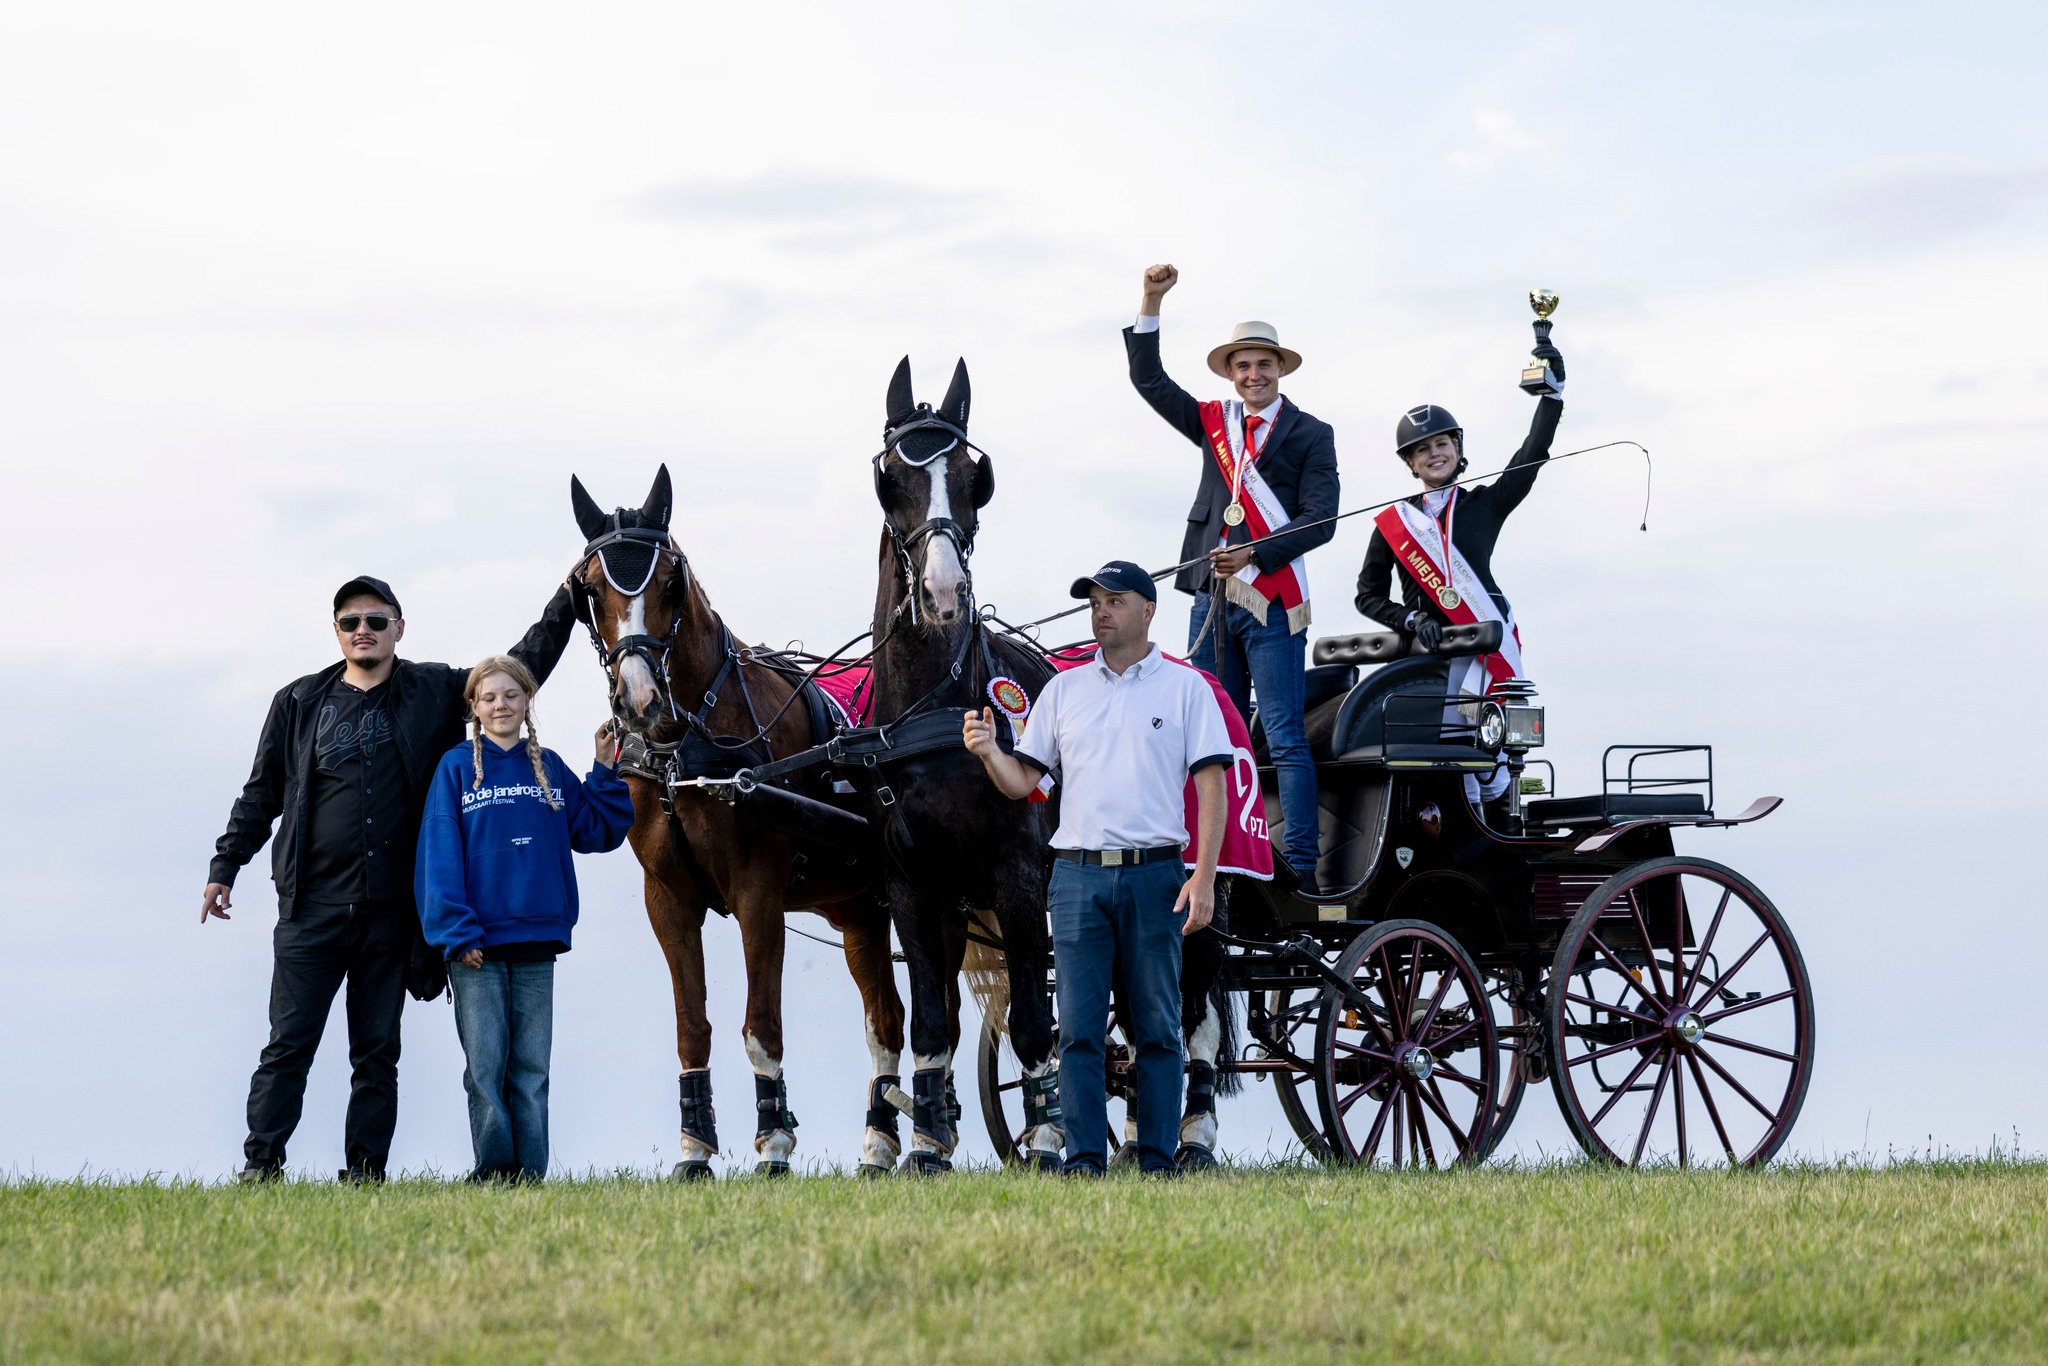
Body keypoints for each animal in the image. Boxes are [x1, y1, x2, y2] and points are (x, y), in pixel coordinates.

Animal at [566, 466, 910, 1177]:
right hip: (861, 907)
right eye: (589, 590)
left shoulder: (759, 893)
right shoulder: (667, 899)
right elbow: (690, 1026)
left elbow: (761, 1025)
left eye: (670, 582)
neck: (685, 752)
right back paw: (879, 1142)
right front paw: (695, 1147)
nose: (638, 699)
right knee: (886, 1020)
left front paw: (773, 1142)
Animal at [860, 357, 1066, 1172]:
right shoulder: (914, 888)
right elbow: (930, 1022)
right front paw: (925, 1146)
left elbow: (1037, 1020)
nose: (945, 592)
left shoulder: (1018, 873)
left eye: (972, 478)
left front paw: (1049, 1140)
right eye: (891, 479)